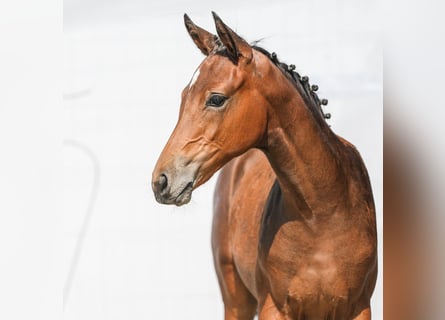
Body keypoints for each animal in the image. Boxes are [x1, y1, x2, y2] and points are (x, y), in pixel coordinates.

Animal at [151, 12, 376, 320]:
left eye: (216, 98)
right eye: (185, 95)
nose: (160, 180)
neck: (323, 212)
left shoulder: (359, 308)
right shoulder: (273, 307)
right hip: (236, 300)